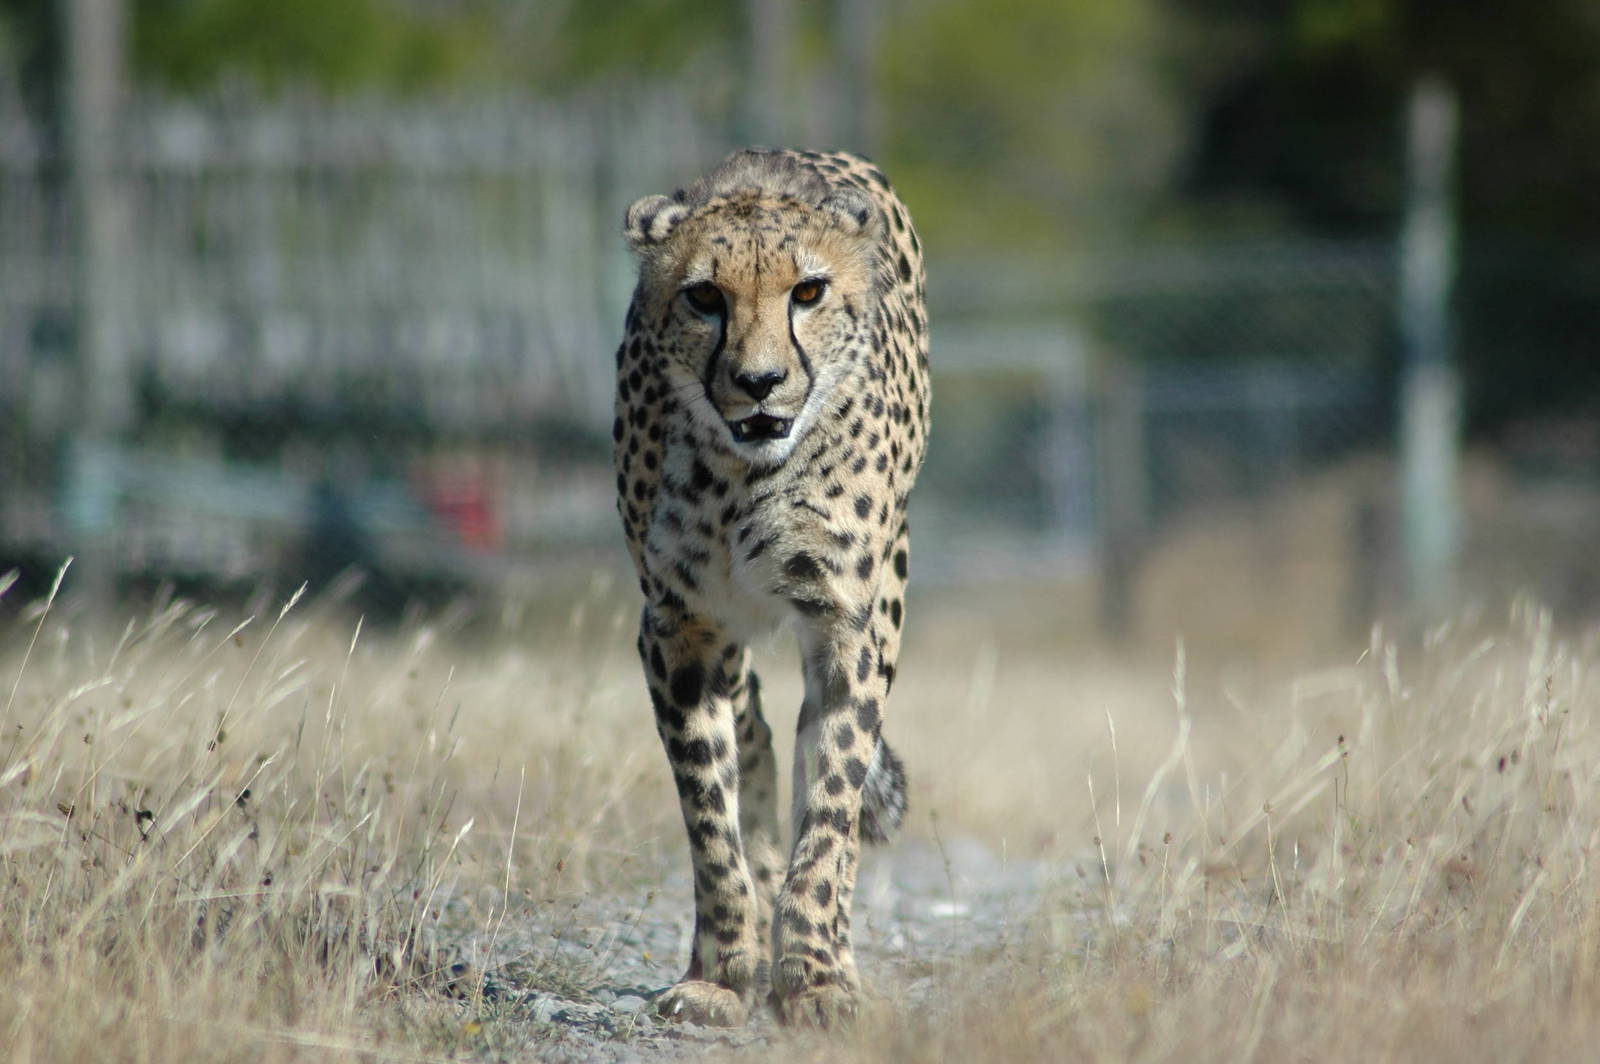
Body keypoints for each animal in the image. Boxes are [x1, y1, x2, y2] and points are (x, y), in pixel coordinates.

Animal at [612, 148, 929, 1028]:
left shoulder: (848, 626)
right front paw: (723, 971)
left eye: (809, 292)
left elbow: (828, 805)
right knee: (748, 731)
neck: (742, 478)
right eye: (704, 297)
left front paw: (815, 975)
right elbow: (708, 814)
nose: (759, 381)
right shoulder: (678, 626)